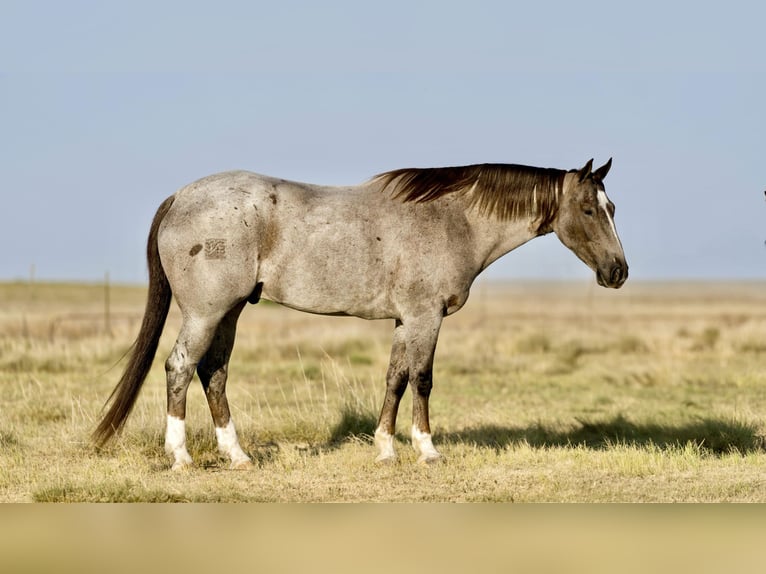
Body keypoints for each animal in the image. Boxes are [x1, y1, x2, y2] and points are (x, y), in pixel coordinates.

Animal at [93, 159, 628, 472]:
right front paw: (427, 449)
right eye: (588, 209)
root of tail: (181, 196)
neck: (451, 219)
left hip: (228, 313)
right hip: (206, 313)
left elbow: (394, 379)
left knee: (214, 374)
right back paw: (181, 456)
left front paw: (386, 448)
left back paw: (238, 455)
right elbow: (422, 379)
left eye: (612, 207)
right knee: (181, 368)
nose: (618, 271)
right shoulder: (426, 317)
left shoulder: (405, 320)